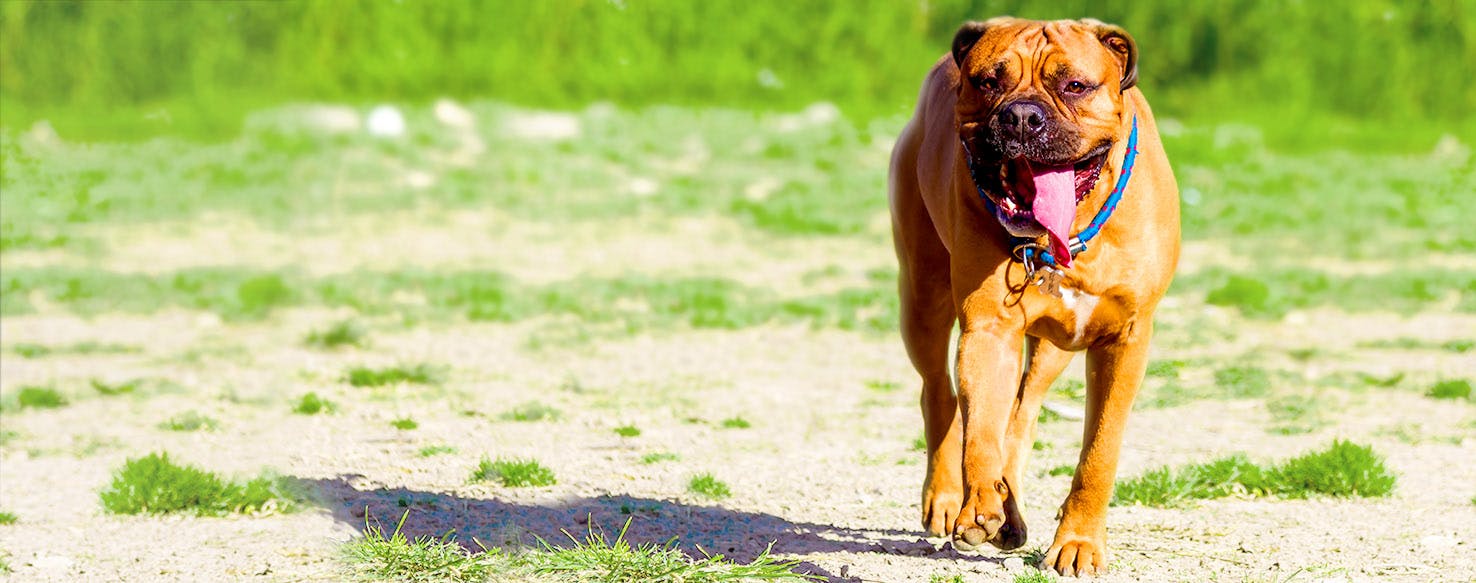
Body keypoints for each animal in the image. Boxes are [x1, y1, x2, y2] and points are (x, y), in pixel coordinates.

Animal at [879, 17, 1180, 575]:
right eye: (987, 82)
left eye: (1075, 85)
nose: (1021, 115)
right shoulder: (989, 330)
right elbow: (981, 429)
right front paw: (979, 505)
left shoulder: (1125, 341)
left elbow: (1100, 450)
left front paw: (1078, 541)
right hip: (922, 298)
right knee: (941, 394)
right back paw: (949, 496)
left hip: (1055, 347)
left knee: (1023, 412)